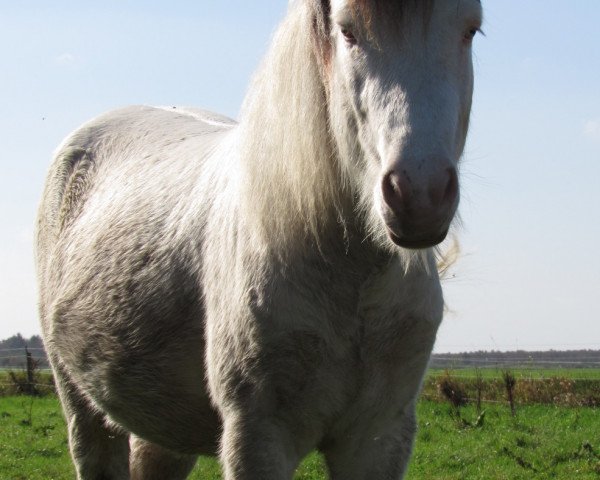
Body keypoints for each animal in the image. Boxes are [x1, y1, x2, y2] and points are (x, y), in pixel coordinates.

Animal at [36, 0, 482, 480]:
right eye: (348, 31)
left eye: (471, 30)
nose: (420, 195)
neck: (351, 283)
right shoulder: (258, 437)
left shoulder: (378, 439)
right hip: (81, 407)